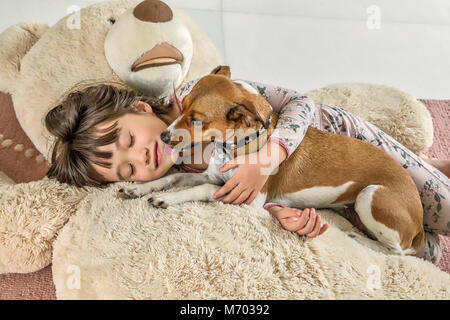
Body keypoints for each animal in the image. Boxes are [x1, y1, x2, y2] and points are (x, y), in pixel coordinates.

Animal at [118, 66, 424, 256]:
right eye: (181, 107)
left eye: (196, 120)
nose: (164, 136)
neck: (235, 146)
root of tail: (419, 224)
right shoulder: (211, 175)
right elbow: (173, 176)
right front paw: (138, 188)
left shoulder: (248, 198)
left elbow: (201, 190)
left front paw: (167, 199)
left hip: (369, 196)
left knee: (397, 251)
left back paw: (358, 237)